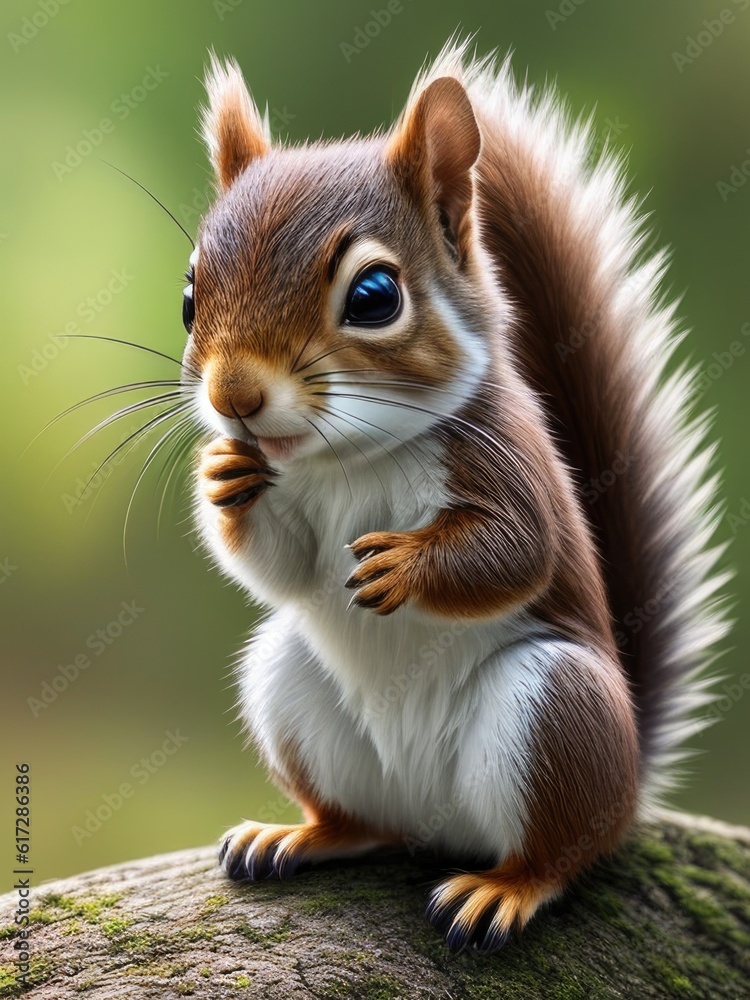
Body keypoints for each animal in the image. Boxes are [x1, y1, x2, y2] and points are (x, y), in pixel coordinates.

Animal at [180, 42, 729, 953]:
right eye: (189, 295)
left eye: (374, 297)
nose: (235, 399)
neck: (352, 457)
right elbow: (282, 565)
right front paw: (223, 475)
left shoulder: (506, 464)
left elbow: (517, 553)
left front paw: (403, 567)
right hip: (288, 682)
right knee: (364, 823)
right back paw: (300, 834)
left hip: (555, 708)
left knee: (559, 853)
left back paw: (504, 890)